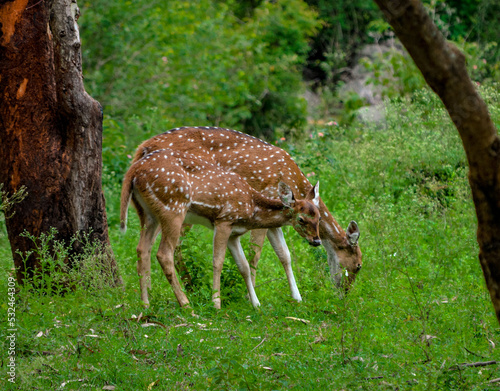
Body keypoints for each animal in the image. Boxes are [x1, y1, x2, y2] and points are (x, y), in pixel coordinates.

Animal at [120, 148, 320, 310]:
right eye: (301, 219)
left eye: (319, 216)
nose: (317, 240)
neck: (250, 207)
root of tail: (133, 171)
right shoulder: (224, 220)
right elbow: (218, 261)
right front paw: (216, 303)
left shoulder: (234, 234)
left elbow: (243, 265)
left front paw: (255, 303)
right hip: (173, 208)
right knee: (163, 253)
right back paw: (186, 305)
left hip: (147, 213)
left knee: (142, 249)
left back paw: (145, 304)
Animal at [131, 126, 362, 294]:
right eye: (358, 265)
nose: (344, 294)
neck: (294, 180)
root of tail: (141, 149)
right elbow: (255, 253)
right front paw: (249, 292)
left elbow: (284, 254)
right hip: (181, 203)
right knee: (172, 246)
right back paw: (189, 287)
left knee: (147, 245)